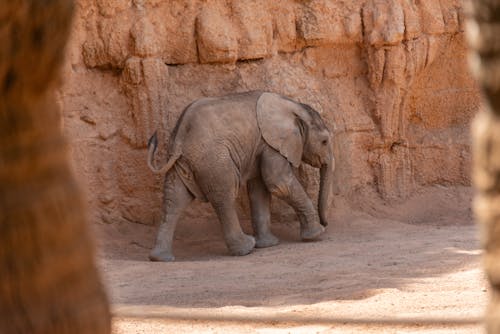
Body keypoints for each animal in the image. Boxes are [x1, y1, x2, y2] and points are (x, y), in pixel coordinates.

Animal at [147, 90, 336, 260]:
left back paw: (160, 258)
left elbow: (259, 190)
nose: (326, 223)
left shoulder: (260, 147)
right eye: (324, 141)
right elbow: (278, 183)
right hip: (214, 160)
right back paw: (246, 248)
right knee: (224, 197)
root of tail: (181, 133)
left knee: (174, 199)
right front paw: (316, 235)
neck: (293, 106)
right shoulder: (271, 144)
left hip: (183, 161)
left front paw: (269, 245)